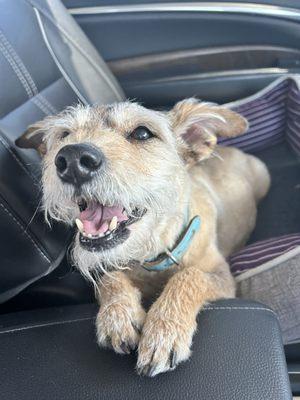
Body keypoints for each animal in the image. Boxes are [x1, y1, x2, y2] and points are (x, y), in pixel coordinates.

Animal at [16, 98, 270, 376]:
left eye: (142, 133)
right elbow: (109, 277)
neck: (151, 252)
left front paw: (165, 330)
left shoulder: (223, 277)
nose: (72, 159)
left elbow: (189, 275)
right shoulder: (110, 265)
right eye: (64, 134)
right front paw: (118, 316)